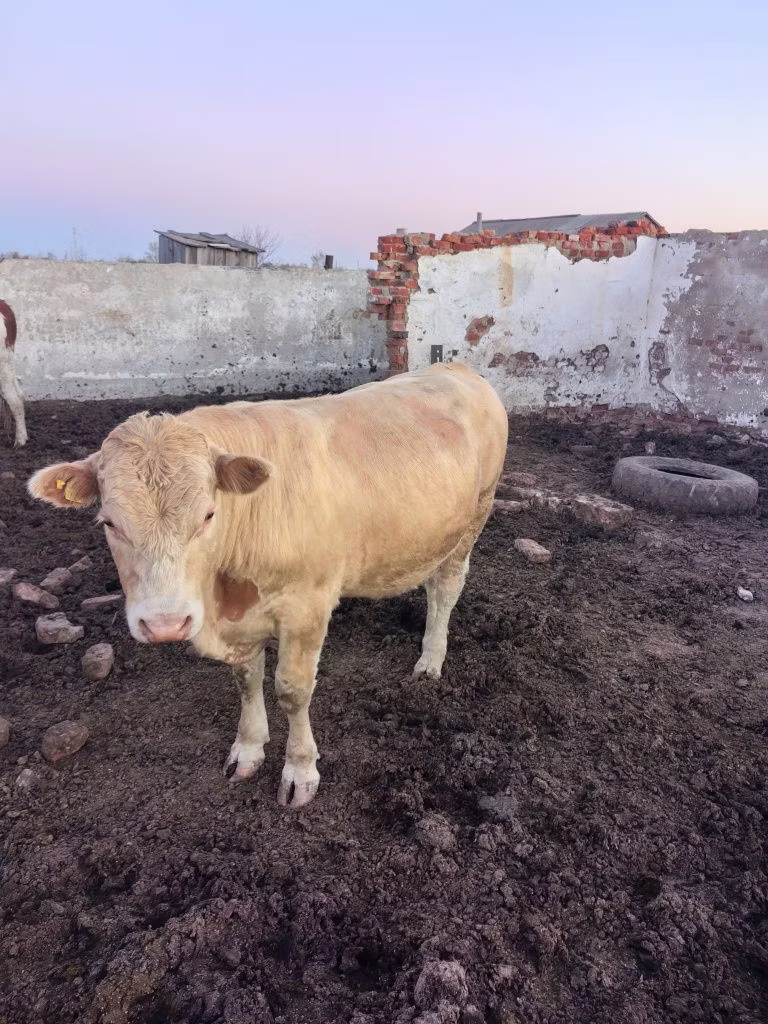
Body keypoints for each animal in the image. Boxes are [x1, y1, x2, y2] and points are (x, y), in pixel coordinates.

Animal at [28, 362, 508, 806]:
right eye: (109, 522)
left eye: (207, 514)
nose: (165, 624)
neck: (226, 594)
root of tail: (455, 367)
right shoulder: (242, 623)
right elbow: (246, 679)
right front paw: (247, 749)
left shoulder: (308, 607)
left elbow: (293, 691)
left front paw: (300, 770)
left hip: (475, 516)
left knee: (445, 589)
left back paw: (430, 660)